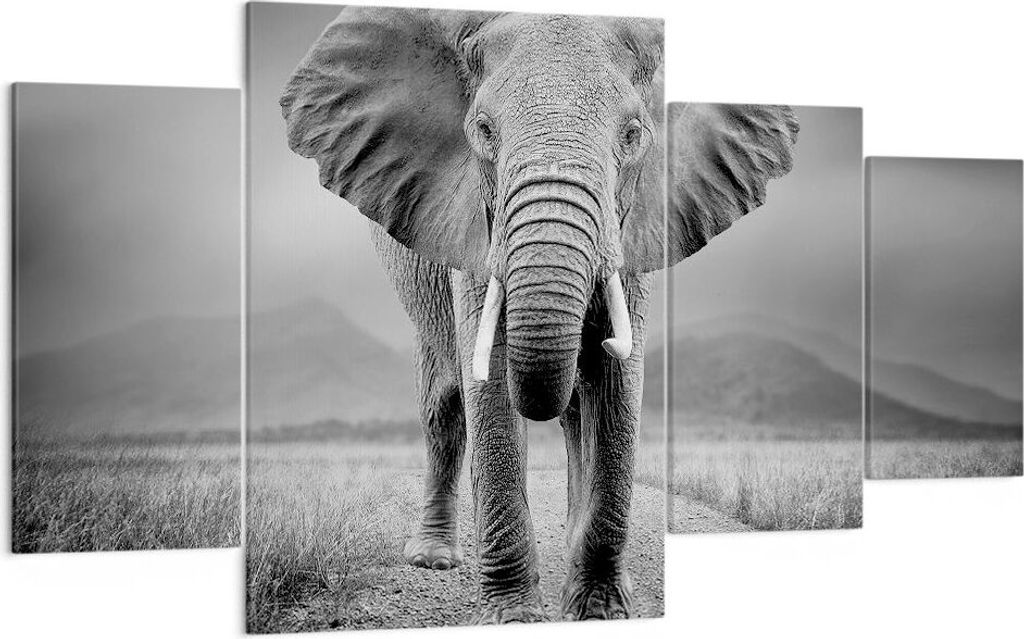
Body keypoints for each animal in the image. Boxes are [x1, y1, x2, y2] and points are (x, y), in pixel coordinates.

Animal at [281, 6, 798, 623]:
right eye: (482, 131)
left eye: (633, 135)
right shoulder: (475, 227)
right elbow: (491, 383)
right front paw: (511, 616)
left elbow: (617, 385)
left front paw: (599, 611)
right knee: (444, 405)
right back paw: (433, 559)